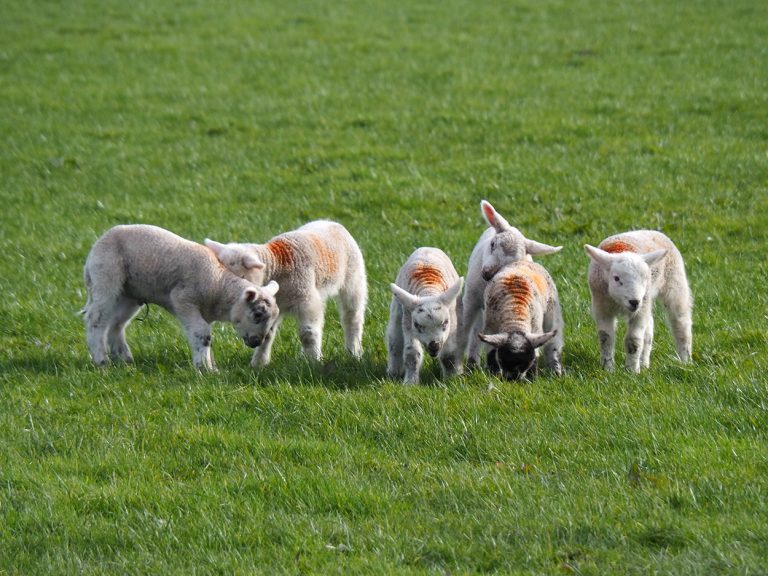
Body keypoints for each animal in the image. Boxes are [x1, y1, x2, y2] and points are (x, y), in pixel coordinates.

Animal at [82, 224, 280, 371]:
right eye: (257, 314)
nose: (257, 342)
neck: (219, 285)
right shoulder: (183, 299)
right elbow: (202, 333)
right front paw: (204, 369)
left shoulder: (204, 311)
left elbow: (203, 336)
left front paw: (210, 366)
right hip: (105, 276)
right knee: (95, 319)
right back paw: (101, 361)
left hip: (129, 293)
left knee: (116, 323)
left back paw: (124, 359)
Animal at [204, 220, 367, 367]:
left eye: (240, 278)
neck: (277, 265)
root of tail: (331, 222)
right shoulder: (272, 305)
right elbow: (267, 334)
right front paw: (258, 364)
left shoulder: (307, 299)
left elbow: (307, 334)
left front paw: (314, 362)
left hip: (354, 278)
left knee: (352, 318)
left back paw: (354, 352)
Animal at [386, 247, 464, 384]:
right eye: (417, 325)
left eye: (445, 322)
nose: (434, 345)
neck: (428, 290)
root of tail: (428, 248)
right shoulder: (408, 321)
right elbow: (411, 353)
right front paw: (410, 383)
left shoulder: (452, 321)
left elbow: (449, 353)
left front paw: (451, 378)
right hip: (398, 307)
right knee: (394, 338)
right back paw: (394, 372)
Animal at [584, 230, 693, 372]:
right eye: (616, 278)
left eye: (645, 278)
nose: (634, 301)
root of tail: (652, 231)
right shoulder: (601, 306)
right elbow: (605, 337)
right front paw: (608, 368)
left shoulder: (639, 311)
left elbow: (633, 340)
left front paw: (631, 371)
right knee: (649, 330)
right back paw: (644, 364)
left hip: (673, 283)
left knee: (680, 322)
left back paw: (685, 361)